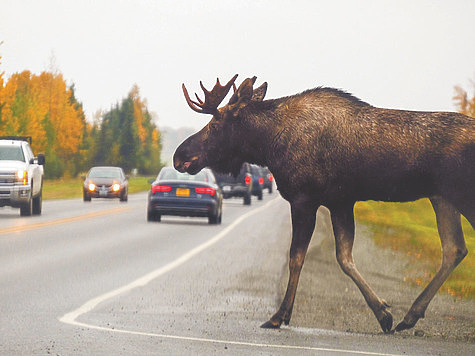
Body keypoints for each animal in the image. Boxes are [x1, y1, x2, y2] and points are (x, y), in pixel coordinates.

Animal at [174, 74, 472, 334]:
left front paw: (279, 316)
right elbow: (344, 258)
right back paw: (410, 316)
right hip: (442, 197)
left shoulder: (304, 200)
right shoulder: (340, 202)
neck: (267, 145)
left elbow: (296, 257)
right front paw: (383, 313)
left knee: (454, 247)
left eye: (214, 125)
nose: (180, 155)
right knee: (454, 249)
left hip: (460, 194)